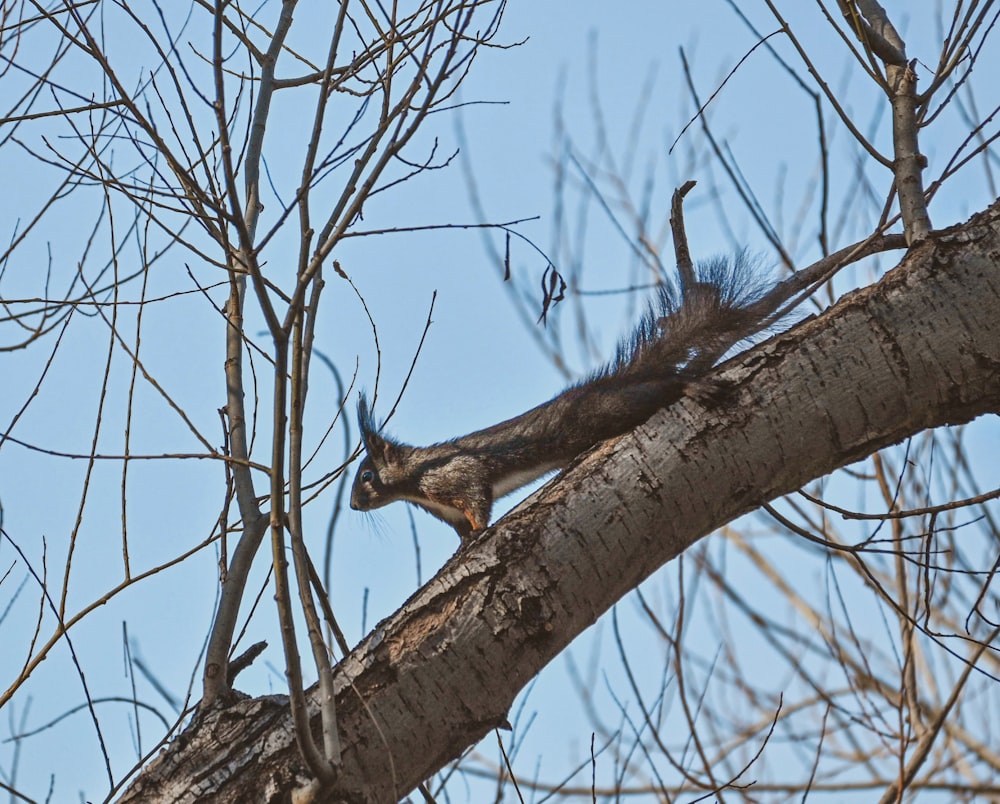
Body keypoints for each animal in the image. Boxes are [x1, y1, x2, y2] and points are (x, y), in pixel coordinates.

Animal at [348, 254, 760, 544]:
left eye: (366, 475)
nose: (353, 505)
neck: (414, 484)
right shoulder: (446, 513)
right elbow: (460, 529)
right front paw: (463, 545)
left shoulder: (459, 475)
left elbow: (478, 499)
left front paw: (479, 534)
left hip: (605, 411)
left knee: (658, 389)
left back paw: (690, 387)